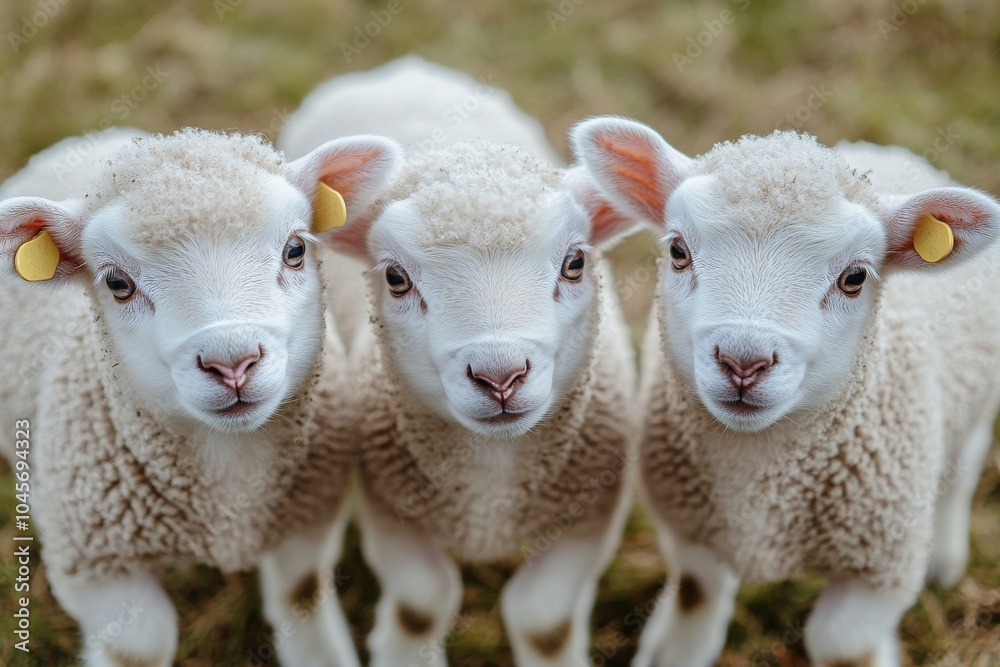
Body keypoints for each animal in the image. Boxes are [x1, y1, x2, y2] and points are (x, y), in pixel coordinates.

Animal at [0, 126, 402, 667]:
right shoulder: (96, 566)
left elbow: (301, 598)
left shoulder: (307, 518)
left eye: (296, 249)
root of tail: (92, 138)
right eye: (117, 283)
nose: (231, 362)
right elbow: (139, 646)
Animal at [279, 60, 641, 667]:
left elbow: (544, 619)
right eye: (395, 278)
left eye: (574, 262)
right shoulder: (389, 503)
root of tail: (403, 71)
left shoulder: (592, 511)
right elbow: (421, 603)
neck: (490, 484)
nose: (500, 376)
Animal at [572, 116, 1000, 667]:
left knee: (966, 460)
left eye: (855, 277)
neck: (761, 478)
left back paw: (945, 558)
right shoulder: (693, 531)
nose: (743, 362)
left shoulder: (882, 567)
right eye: (677, 251)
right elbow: (697, 600)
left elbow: (841, 644)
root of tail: (886, 150)